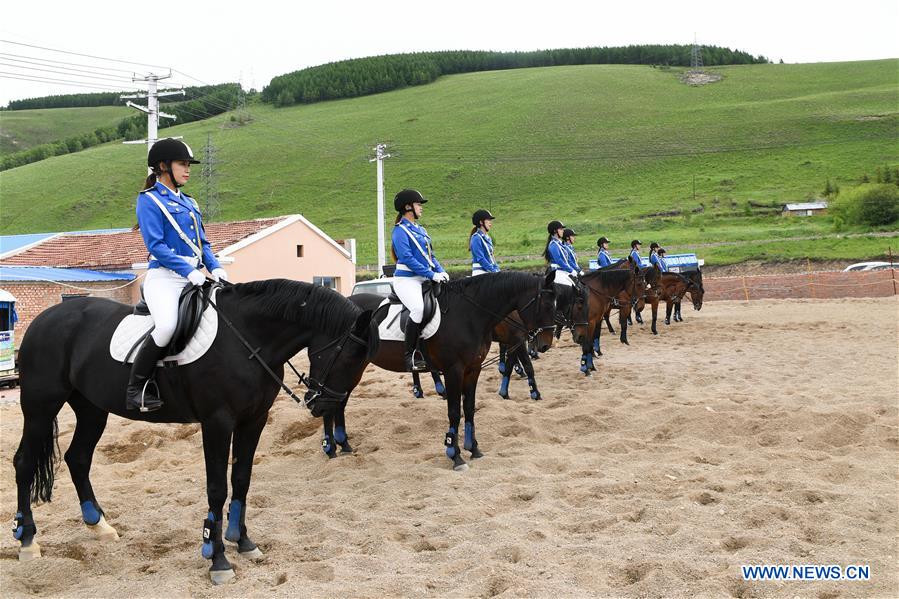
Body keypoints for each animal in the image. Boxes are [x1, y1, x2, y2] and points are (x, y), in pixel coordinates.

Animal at [14, 282, 380, 584]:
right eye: (347, 356)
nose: (323, 406)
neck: (248, 339)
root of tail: (44, 320)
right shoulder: (217, 422)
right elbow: (217, 488)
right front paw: (217, 559)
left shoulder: (254, 420)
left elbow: (242, 479)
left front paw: (243, 541)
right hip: (40, 406)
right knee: (23, 463)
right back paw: (28, 541)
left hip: (92, 409)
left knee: (78, 458)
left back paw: (99, 525)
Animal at [330, 274, 556, 474]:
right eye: (546, 305)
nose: (545, 344)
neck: (469, 314)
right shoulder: (453, 370)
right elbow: (454, 412)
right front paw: (454, 455)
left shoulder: (473, 369)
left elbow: (470, 408)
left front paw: (474, 448)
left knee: (339, 400)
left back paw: (343, 444)